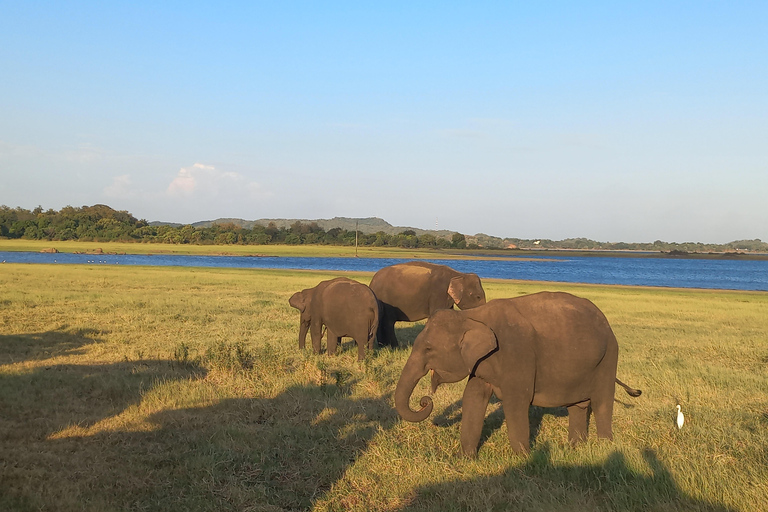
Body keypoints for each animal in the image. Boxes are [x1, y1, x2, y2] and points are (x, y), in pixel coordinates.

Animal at [396, 292, 640, 456]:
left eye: (428, 349)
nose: (425, 401)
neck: (472, 316)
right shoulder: (481, 363)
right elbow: (473, 397)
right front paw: (465, 459)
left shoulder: (517, 353)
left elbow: (516, 402)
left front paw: (524, 459)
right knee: (578, 405)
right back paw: (574, 448)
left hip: (608, 357)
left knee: (602, 401)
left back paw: (604, 447)